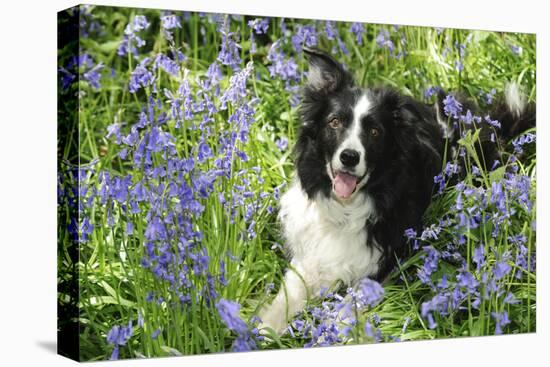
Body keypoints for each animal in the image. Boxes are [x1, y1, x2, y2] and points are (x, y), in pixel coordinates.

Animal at [260, 47, 540, 334]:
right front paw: (261, 330)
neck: (345, 209)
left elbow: (344, 312)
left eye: (375, 131)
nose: (349, 157)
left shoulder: (386, 260)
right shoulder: (310, 255)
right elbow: (287, 296)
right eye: (334, 122)